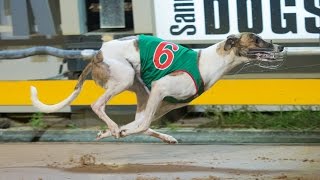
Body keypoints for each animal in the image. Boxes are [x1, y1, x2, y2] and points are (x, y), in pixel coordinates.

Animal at [30, 32, 284, 143]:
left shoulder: (161, 103)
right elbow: (141, 126)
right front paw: (119, 132)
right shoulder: (161, 87)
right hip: (125, 77)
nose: (280, 47)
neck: (208, 62)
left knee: (137, 119)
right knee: (97, 104)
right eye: (257, 39)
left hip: (141, 90)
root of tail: (96, 55)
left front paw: (114, 132)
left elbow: (139, 124)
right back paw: (113, 127)